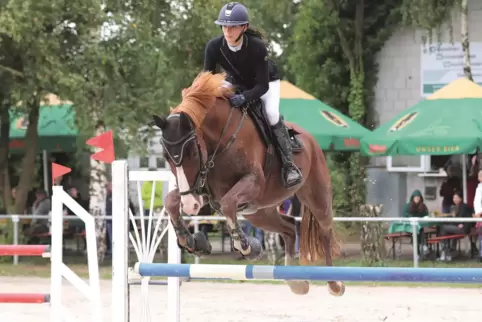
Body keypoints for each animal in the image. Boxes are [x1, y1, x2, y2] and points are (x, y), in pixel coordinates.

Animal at [153, 71, 344, 296]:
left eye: (192, 152)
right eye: (166, 157)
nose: (191, 205)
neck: (221, 140)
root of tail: (311, 139)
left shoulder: (252, 183)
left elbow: (228, 205)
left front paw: (247, 246)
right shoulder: (203, 190)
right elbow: (170, 201)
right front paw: (189, 240)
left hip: (316, 196)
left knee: (325, 231)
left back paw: (334, 283)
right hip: (259, 212)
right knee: (289, 228)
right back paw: (296, 283)